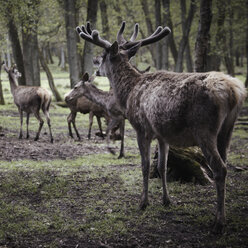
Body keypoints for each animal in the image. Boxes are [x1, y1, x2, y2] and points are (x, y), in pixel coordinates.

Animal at [76, 20, 247, 232]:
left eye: (103, 56)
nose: (96, 68)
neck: (128, 93)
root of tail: (235, 91)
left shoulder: (142, 128)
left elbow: (144, 165)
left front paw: (143, 202)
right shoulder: (163, 134)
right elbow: (162, 166)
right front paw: (166, 200)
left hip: (204, 129)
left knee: (219, 168)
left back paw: (219, 222)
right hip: (227, 130)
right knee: (225, 163)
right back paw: (221, 216)